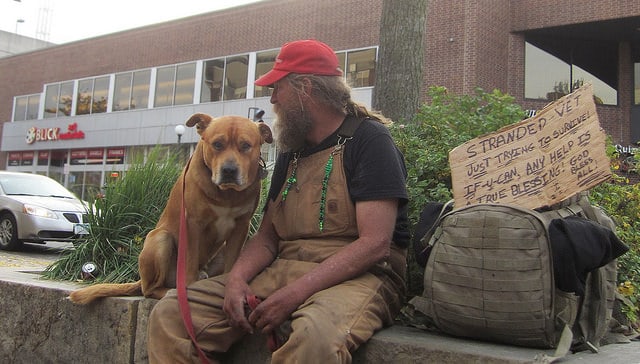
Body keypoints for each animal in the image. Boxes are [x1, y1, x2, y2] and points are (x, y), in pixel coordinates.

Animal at [69, 114, 272, 304]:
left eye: (245, 145)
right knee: (151, 289)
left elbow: (233, 263)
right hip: (160, 238)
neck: (227, 194)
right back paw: (172, 291)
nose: (229, 170)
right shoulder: (192, 223)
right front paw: (189, 290)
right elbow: (190, 261)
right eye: (217, 144)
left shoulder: (241, 226)